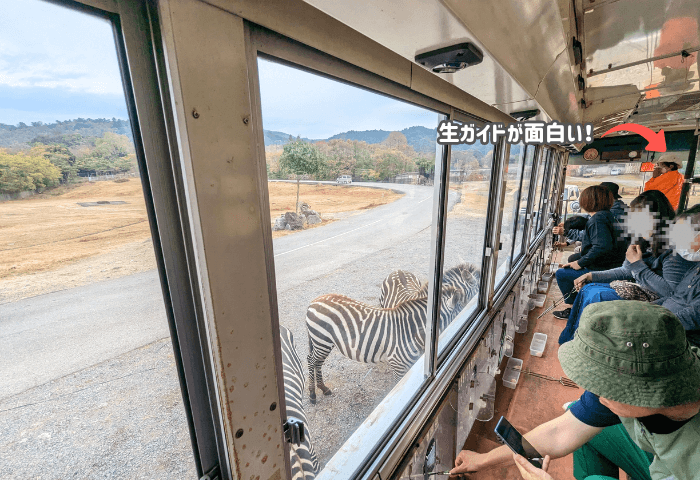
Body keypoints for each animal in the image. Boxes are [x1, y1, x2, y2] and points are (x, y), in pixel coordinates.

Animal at [304, 264, 478, 404]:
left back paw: (324, 388)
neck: (414, 330)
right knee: (311, 360)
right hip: (322, 340)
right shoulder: (398, 366)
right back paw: (312, 394)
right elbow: (398, 391)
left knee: (318, 362)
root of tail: (315, 300)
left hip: (324, 342)